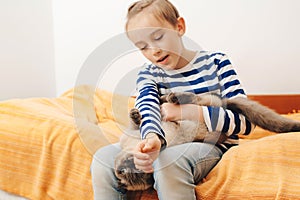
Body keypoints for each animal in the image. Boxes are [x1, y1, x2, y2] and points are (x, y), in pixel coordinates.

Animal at [113, 91, 300, 191]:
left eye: (131, 166)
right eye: (131, 171)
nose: (121, 170)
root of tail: (225, 103)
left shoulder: (137, 131)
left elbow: (141, 124)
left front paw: (135, 114)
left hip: (206, 107)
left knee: (200, 99)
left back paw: (170, 97)